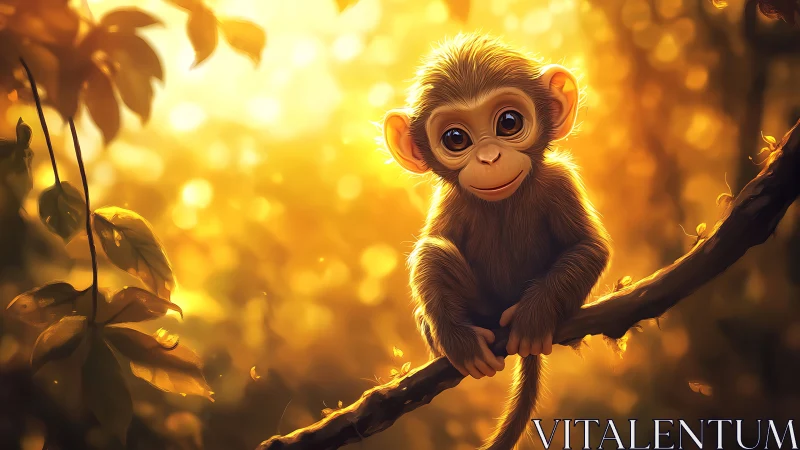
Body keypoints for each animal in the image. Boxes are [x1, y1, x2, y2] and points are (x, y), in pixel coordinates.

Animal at [382, 34, 611, 450]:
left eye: (509, 122)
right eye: (456, 138)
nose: (490, 158)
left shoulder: (559, 180)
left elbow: (588, 247)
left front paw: (534, 316)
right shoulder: (450, 200)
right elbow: (431, 249)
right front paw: (458, 340)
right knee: (436, 254)